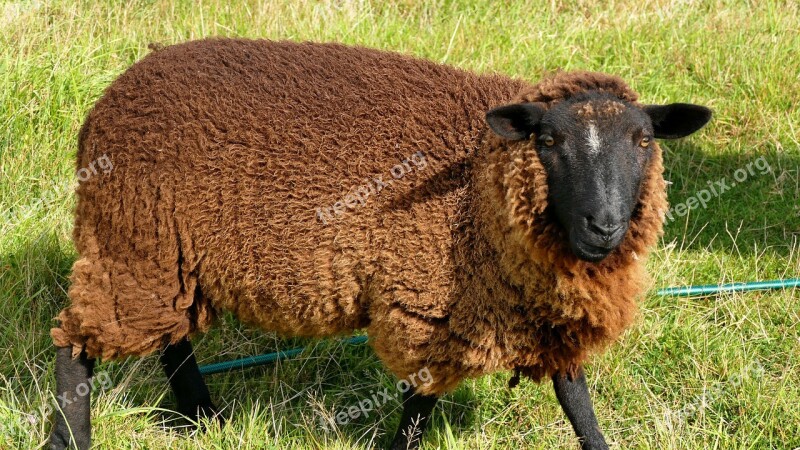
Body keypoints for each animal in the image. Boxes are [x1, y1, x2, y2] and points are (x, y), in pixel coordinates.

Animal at [48, 38, 712, 450]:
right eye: (547, 141)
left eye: (644, 141)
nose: (605, 226)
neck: (479, 186)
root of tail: (109, 99)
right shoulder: (428, 302)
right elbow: (419, 406)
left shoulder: (539, 306)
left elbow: (576, 398)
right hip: (131, 239)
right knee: (77, 345)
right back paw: (71, 437)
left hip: (162, 254)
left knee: (172, 335)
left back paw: (201, 417)